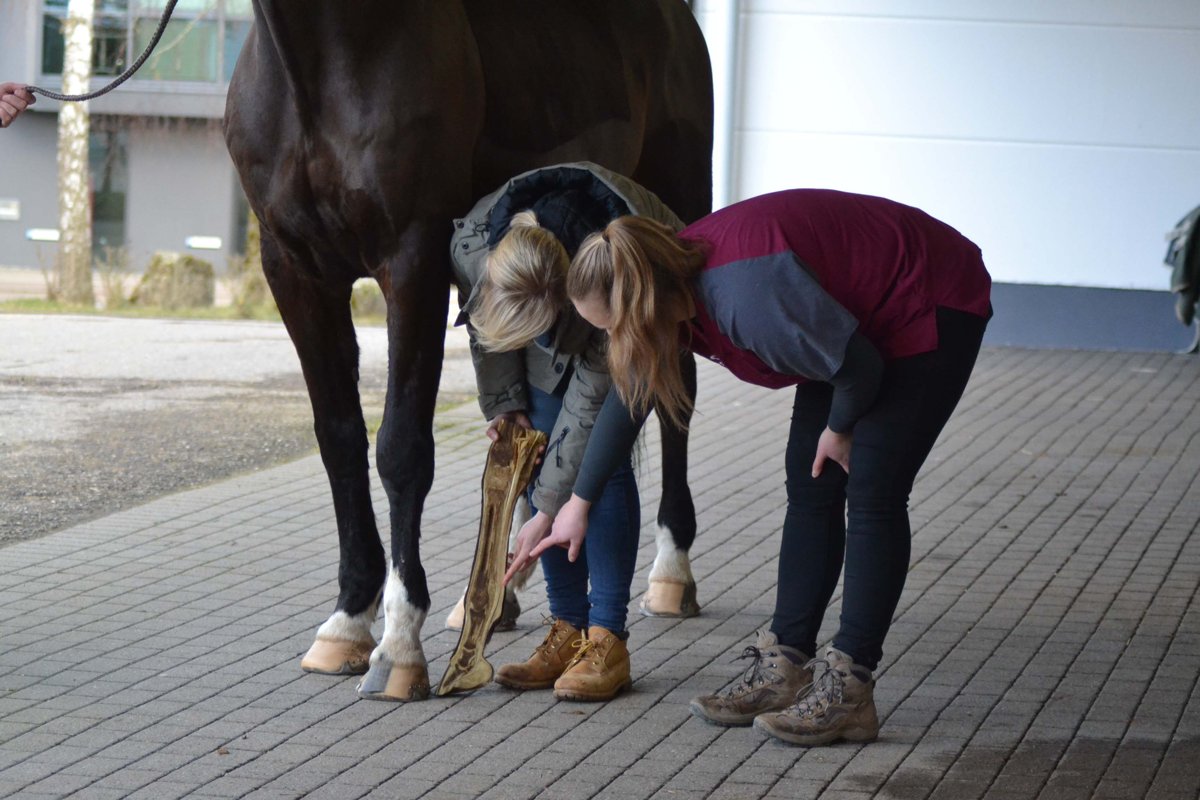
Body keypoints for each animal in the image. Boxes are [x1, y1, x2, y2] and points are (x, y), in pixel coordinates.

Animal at [225, 0, 710, 700]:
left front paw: (399, 644)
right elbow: (340, 441)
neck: (323, 63)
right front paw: (347, 622)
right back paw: (502, 592)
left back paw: (672, 572)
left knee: (677, 395)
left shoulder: (413, 263)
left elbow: (401, 450)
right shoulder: (294, 271)